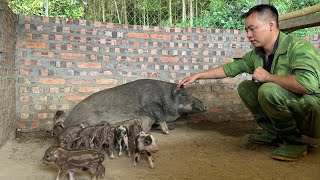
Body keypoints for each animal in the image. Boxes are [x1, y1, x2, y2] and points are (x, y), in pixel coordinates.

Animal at [58, 79, 206, 134]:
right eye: (184, 94)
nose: (204, 104)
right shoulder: (151, 103)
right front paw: (166, 131)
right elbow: (159, 116)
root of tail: (66, 121)